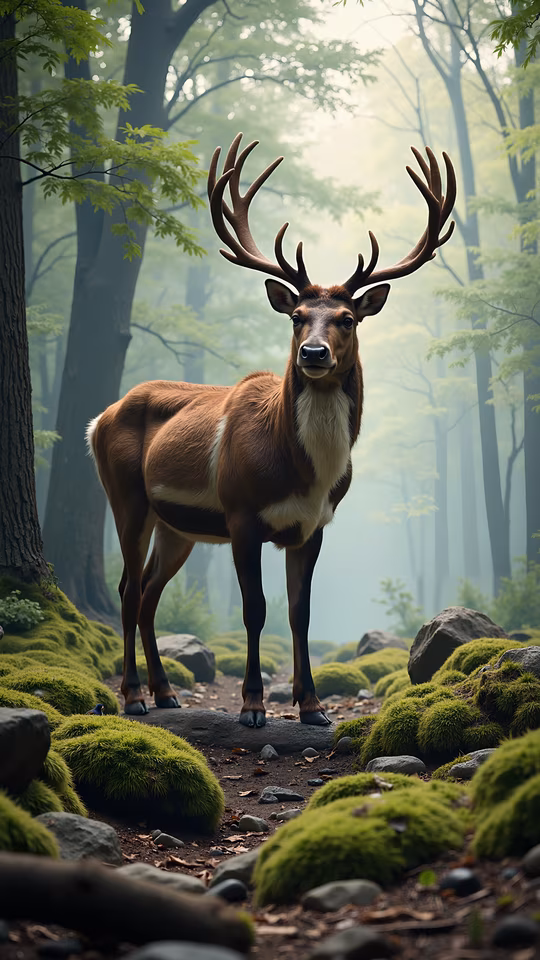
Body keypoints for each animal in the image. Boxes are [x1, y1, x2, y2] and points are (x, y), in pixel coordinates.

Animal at [88, 133, 456, 727]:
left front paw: (312, 707)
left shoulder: (312, 524)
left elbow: (300, 613)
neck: (303, 471)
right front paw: (254, 705)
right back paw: (135, 696)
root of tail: (99, 417)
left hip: (178, 527)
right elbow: (255, 610)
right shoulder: (241, 513)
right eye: (297, 316)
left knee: (148, 594)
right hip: (126, 497)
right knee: (125, 589)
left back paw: (166, 693)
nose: (314, 353)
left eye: (348, 318)